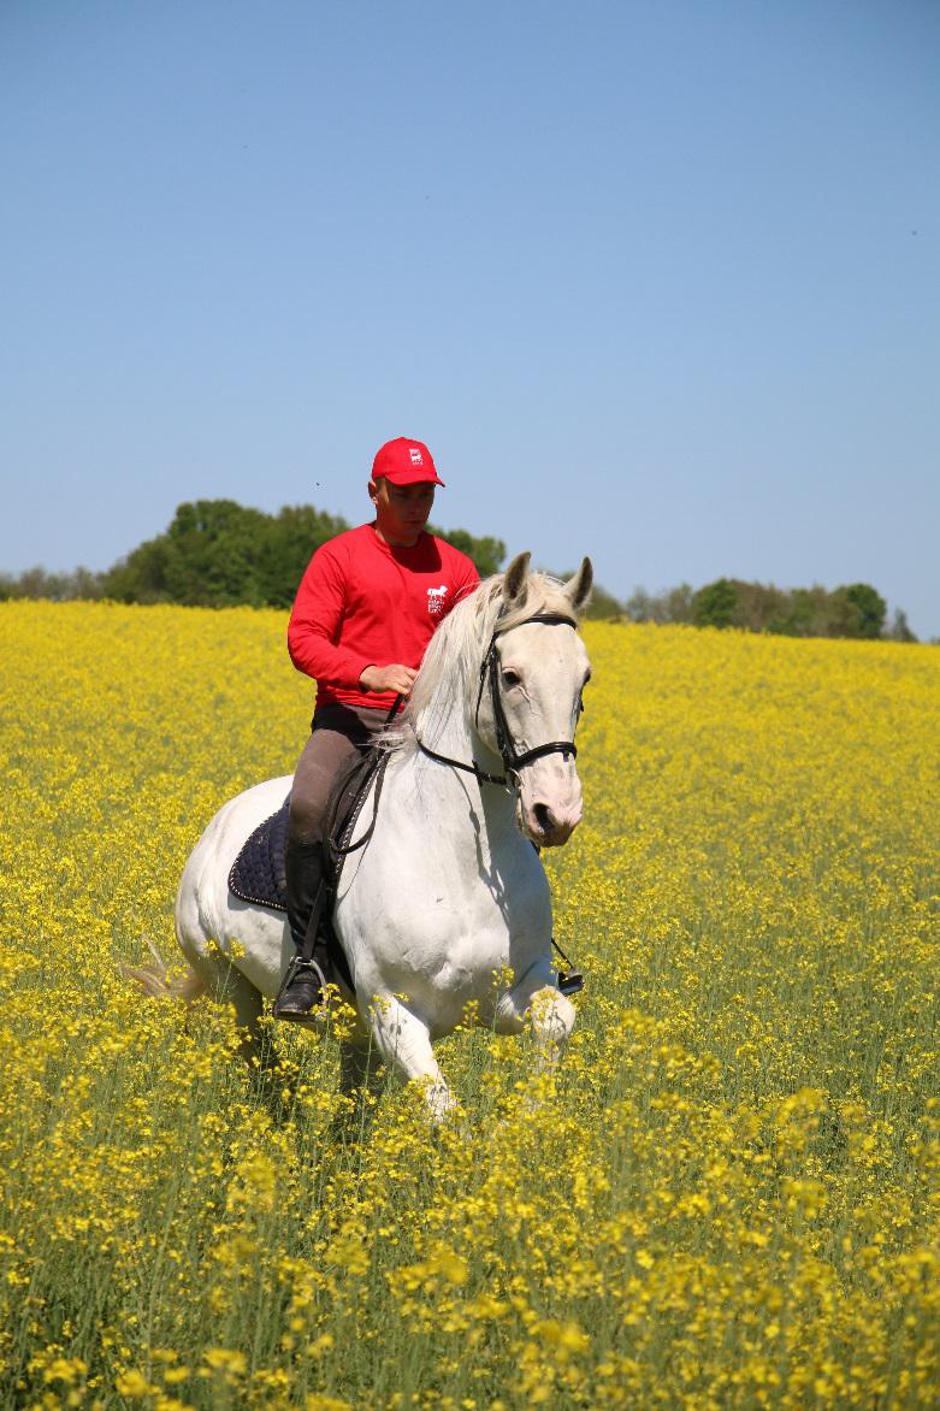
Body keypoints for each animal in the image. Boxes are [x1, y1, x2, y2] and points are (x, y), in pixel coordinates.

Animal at [172, 550, 589, 1111]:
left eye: (583, 679)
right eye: (510, 676)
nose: (557, 811)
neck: (461, 858)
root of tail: (218, 827)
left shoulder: (514, 990)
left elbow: (557, 1021)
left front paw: (523, 1123)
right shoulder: (395, 1014)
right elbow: (443, 1113)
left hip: (353, 1034)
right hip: (232, 988)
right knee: (260, 1062)